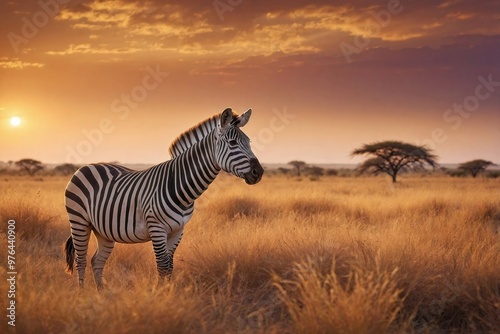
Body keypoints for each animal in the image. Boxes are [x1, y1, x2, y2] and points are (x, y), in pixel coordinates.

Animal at [64, 108, 264, 288]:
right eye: (232, 142)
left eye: (249, 142)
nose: (259, 172)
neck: (180, 188)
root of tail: (86, 167)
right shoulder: (157, 228)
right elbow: (162, 266)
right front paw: (159, 297)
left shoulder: (177, 231)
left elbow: (169, 266)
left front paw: (167, 295)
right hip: (79, 221)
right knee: (81, 261)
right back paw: (83, 295)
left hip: (103, 230)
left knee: (96, 261)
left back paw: (102, 295)